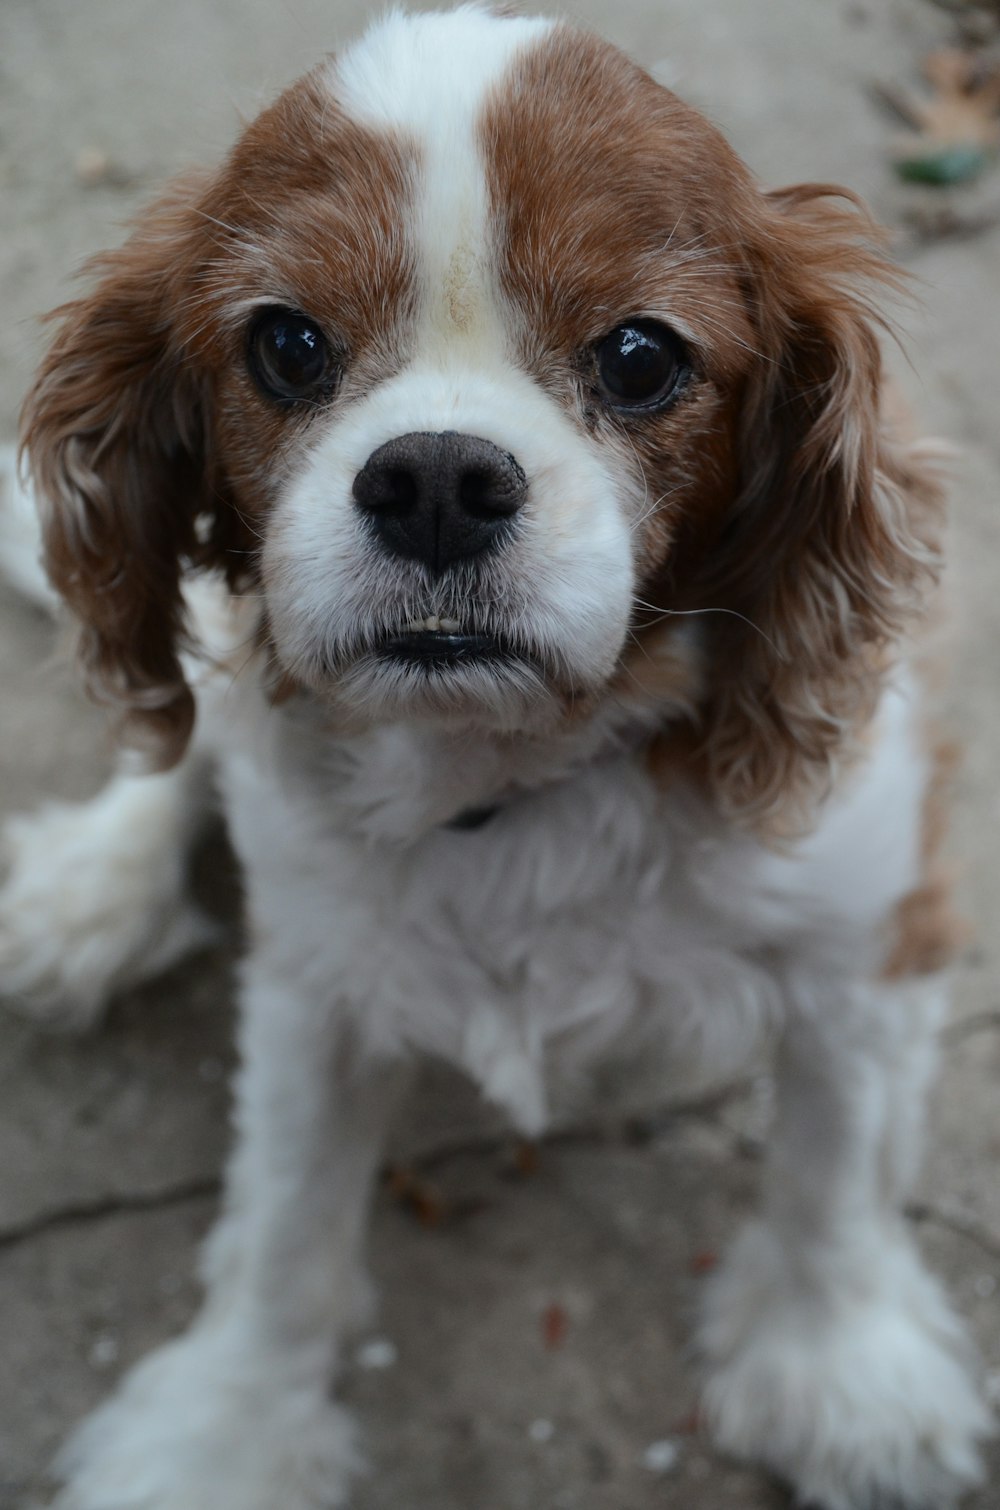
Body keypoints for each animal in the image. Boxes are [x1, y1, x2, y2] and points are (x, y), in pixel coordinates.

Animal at [0, 5, 996, 1503]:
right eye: (287, 345)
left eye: (640, 356)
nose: (435, 480)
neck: (512, 766)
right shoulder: (315, 979)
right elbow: (285, 1226)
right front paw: (228, 1427)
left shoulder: (863, 935)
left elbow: (833, 1176)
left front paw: (847, 1373)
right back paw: (90, 890)